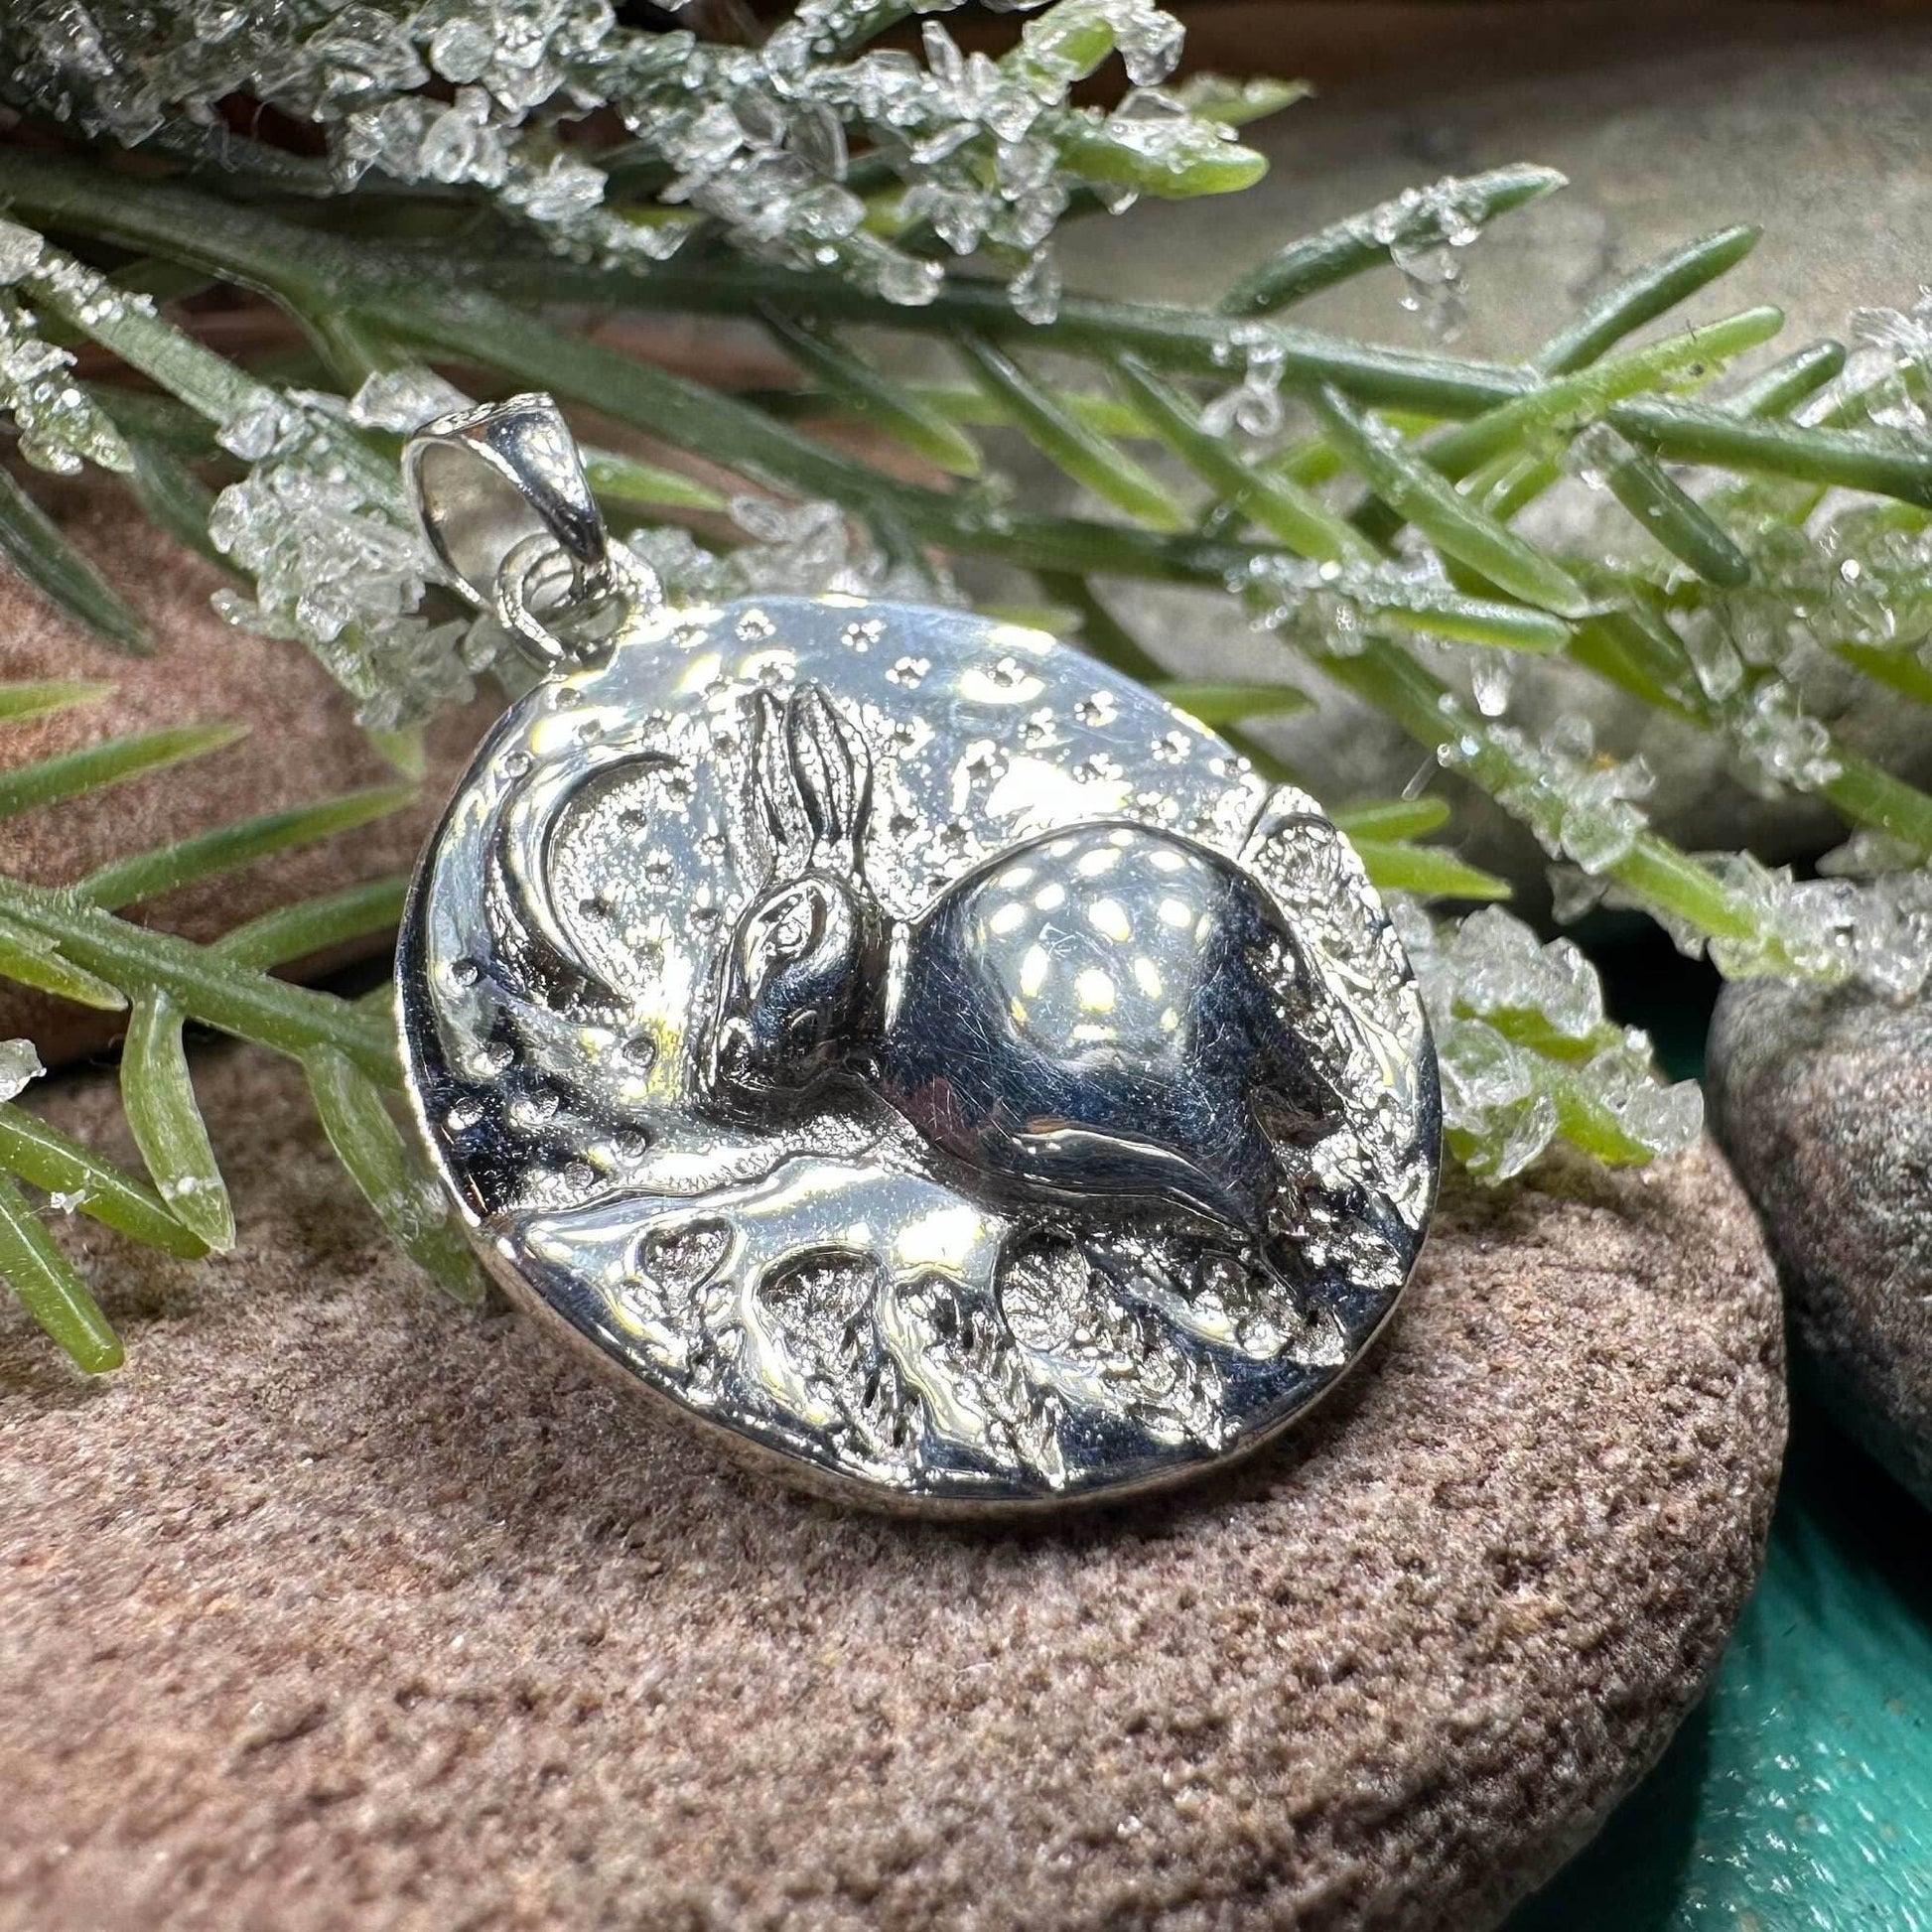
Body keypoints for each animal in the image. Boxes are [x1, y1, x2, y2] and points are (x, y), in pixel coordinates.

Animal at [699, 682, 1349, 1294]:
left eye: (785, 932)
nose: (728, 1060)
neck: (893, 1000)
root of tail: (1246, 895)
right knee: (1311, 1096)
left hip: (1199, 1073)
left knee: (1258, 1181)